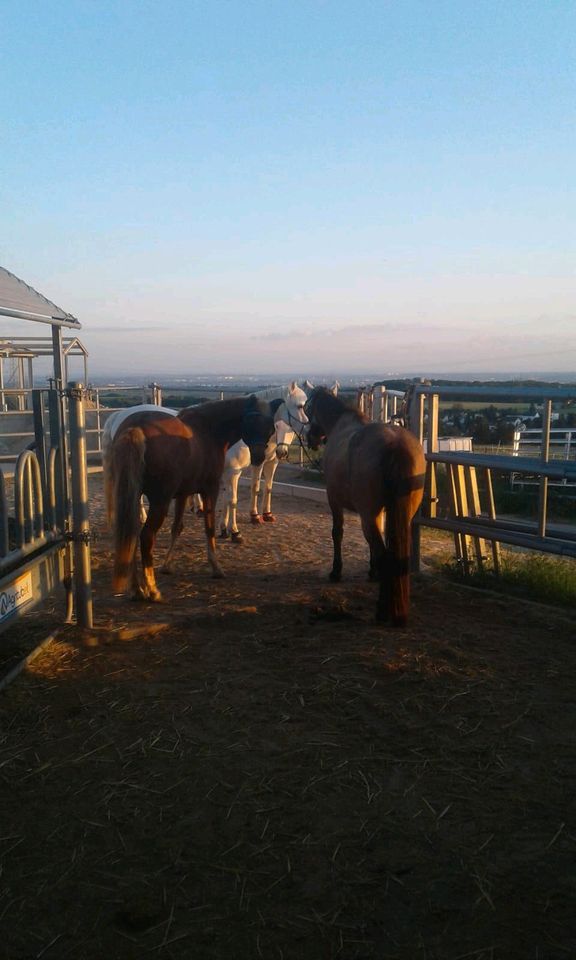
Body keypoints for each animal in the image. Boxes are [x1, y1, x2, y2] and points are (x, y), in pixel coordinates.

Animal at [111, 396, 276, 600]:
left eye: (270, 427)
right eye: (251, 420)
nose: (259, 457)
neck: (209, 430)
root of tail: (136, 428)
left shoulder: (182, 493)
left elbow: (177, 528)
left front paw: (167, 565)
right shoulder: (210, 490)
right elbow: (209, 528)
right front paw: (216, 567)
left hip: (133, 496)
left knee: (131, 534)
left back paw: (137, 590)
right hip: (160, 501)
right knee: (146, 536)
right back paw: (152, 589)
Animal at [308, 386, 426, 628]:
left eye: (308, 408)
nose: (309, 439)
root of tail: (395, 446)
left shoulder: (334, 499)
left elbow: (337, 533)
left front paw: (336, 571)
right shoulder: (377, 512)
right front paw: (372, 571)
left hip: (366, 514)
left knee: (385, 556)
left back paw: (382, 611)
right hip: (400, 515)